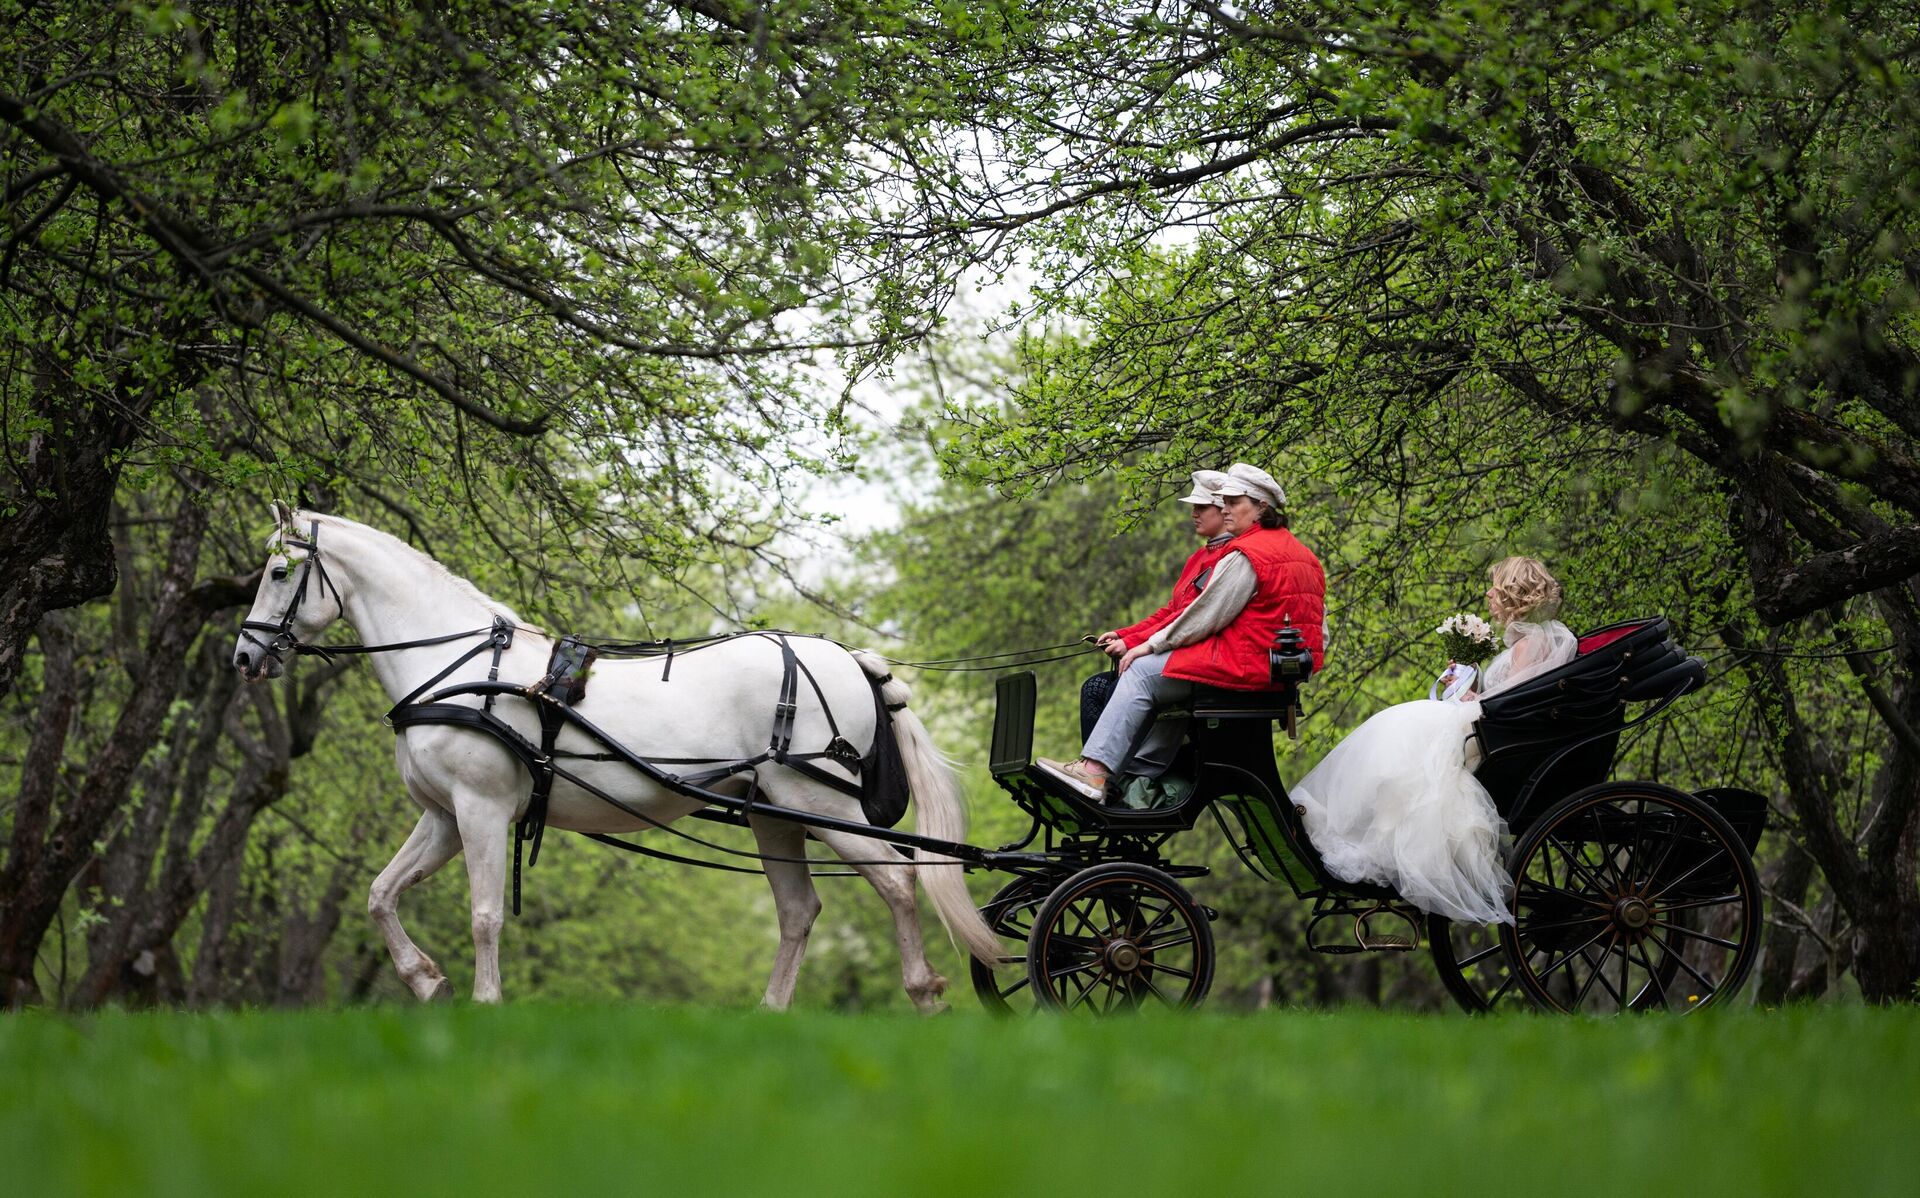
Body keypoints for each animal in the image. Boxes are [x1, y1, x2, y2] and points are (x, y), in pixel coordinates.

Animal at [232, 506, 998, 1013]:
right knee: (799, 911)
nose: (243, 656)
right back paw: (771, 1015)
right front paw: (424, 977)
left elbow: (485, 914)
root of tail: (848, 659)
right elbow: (380, 894)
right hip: (775, 814)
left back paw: (925, 993)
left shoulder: (481, 810)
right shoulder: (444, 817)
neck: (465, 666)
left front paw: (483, 1003)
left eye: (279, 571)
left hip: (826, 804)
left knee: (898, 884)